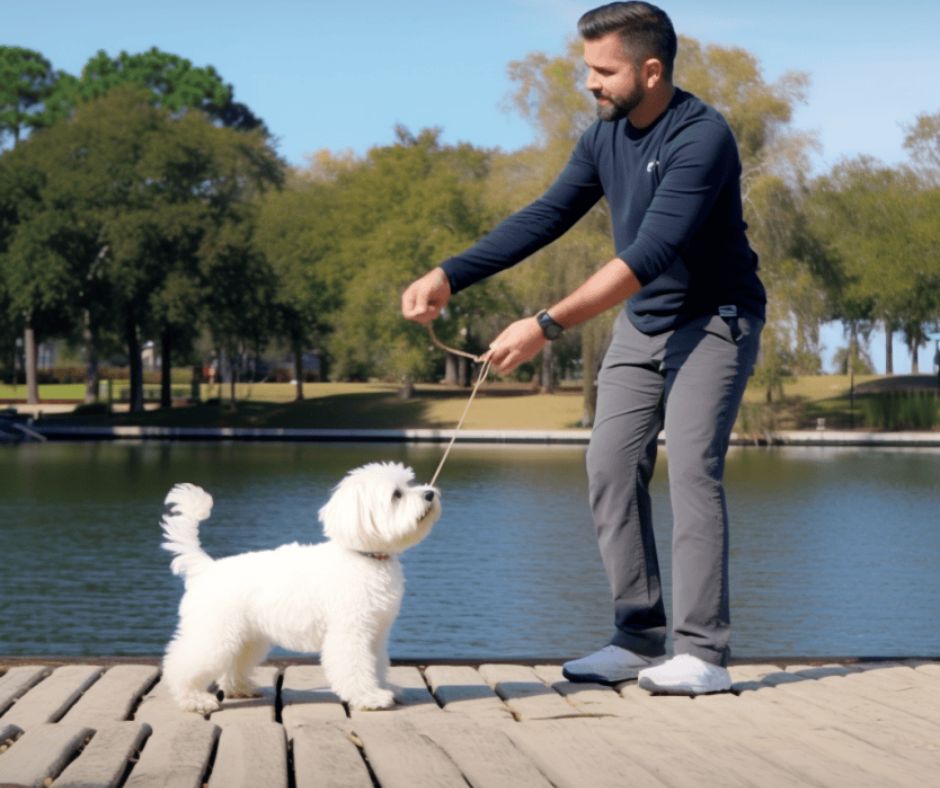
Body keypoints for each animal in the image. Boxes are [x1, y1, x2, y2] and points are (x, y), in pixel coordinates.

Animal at [161, 462, 440, 716]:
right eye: (396, 495)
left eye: (410, 484)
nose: (430, 493)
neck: (364, 556)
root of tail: (206, 567)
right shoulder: (351, 632)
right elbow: (356, 667)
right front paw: (369, 697)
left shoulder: (376, 633)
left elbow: (377, 664)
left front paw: (384, 688)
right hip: (214, 635)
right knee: (180, 664)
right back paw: (194, 699)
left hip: (246, 637)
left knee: (232, 666)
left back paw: (240, 689)